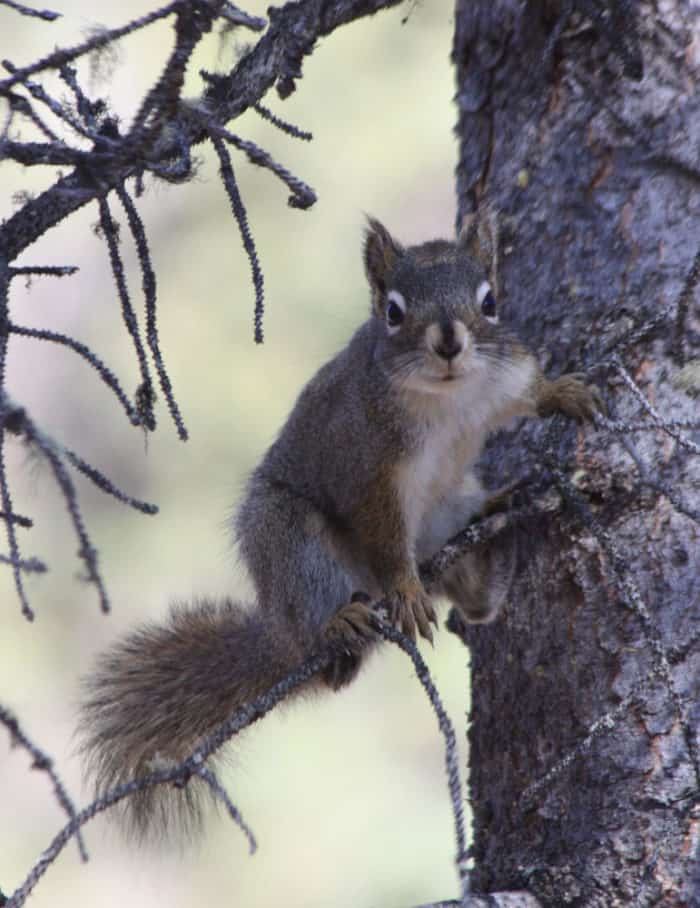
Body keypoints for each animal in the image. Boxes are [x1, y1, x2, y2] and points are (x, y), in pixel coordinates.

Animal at [79, 211, 601, 838]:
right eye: (393, 311)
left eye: (491, 301)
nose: (449, 341)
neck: (446, 397)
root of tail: (281, 631)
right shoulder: (365, 466)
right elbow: (383, 533)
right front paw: (405, 589)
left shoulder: (500, 378)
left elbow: (526, 391)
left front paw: (564, 392)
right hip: (291, 541)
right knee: (327, 632)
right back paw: (341, 622)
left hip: (445, 514)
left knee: (475, 603)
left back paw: (496, 520)